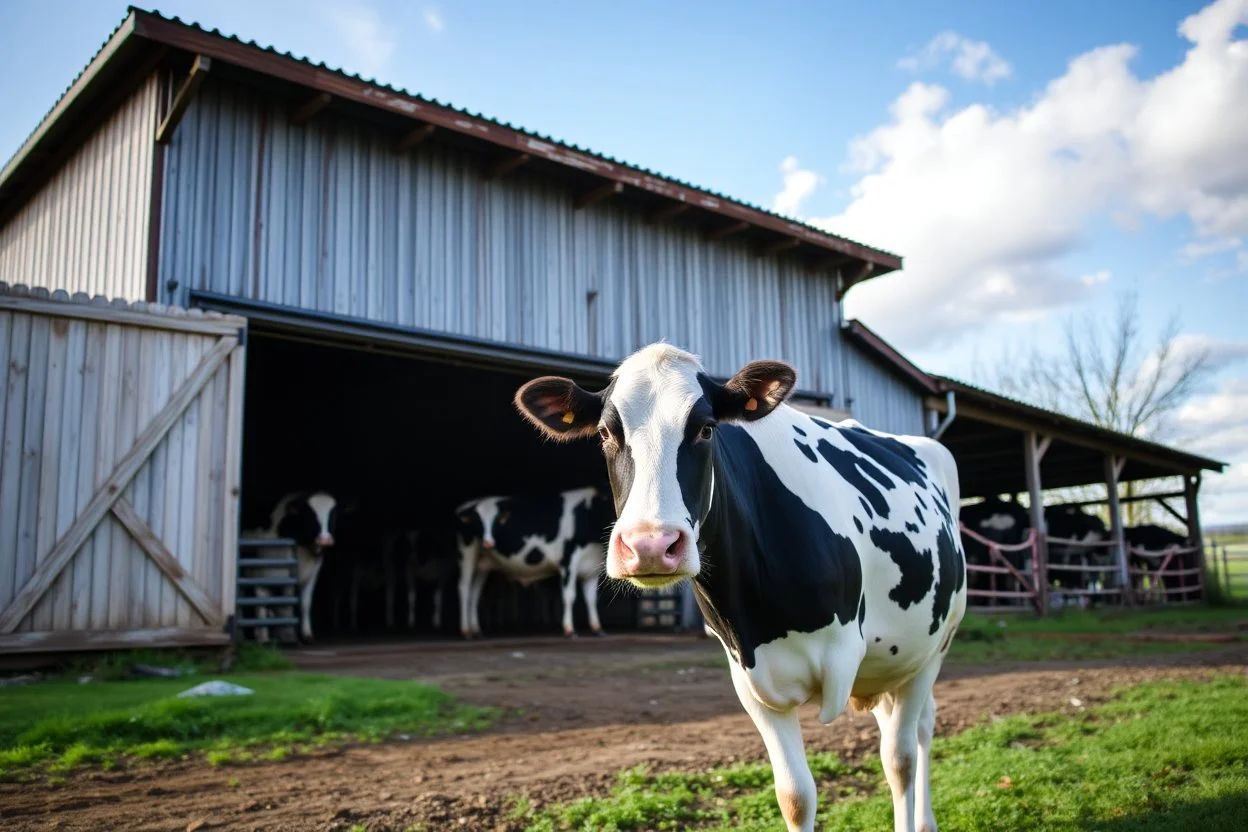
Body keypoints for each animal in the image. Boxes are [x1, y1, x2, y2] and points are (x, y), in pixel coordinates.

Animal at [459, 488, 614, 638]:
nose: (488, 542)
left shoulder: (591, 567)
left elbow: (591, 599)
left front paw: (597, 629)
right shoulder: (567, 559)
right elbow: (569, 595)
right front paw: (569, 630)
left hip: (482, 565)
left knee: (474, 593)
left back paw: (476, 630)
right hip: (466, 553)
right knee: (464, 589)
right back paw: (466, 631)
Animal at [514, 344, 963, 832]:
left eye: (707, 428)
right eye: (604, 433)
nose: (650, 545)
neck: (760, 617)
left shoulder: (907, 657)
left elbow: (899, 762)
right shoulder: (750, 681)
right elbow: (795, 797)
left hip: (932, 645)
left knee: (915, 737)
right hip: (884, 665)